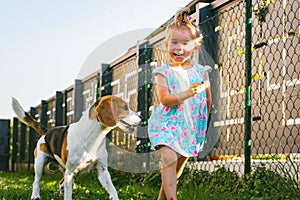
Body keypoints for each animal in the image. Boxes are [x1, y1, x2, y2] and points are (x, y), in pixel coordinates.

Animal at [12, 95, 141, 200]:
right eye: (125, 107)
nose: (142, 117)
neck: (93, 137)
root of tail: (47, 132)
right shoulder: (70, 173)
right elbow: (68, 196)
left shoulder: (102, 170)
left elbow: (113, 191)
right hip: (40, 164)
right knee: (36, 181)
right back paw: (35, 196)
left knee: (61, 183)